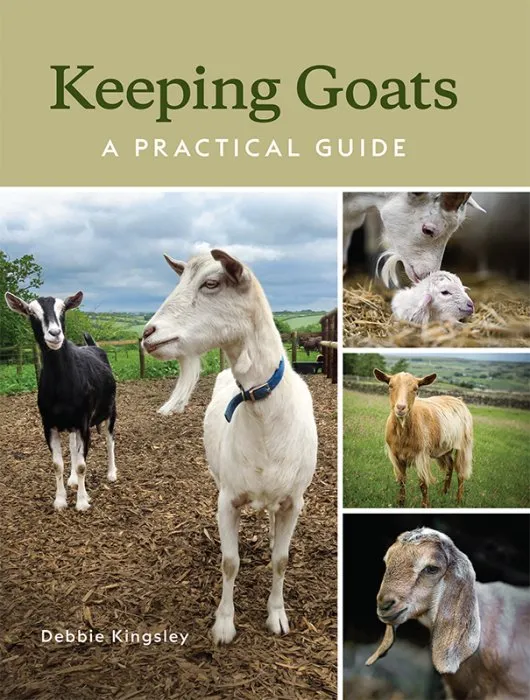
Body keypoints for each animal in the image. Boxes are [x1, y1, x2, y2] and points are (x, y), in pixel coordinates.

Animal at [5, 292, 117, 511]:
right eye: (31, 312)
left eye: (63, 309)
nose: (55, 333)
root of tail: (93, 346)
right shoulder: (49, 425)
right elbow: (57, 464)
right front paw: (60, 501)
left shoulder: (83, 423)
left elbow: (82, 464)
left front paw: (82, 502)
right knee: (73, 447)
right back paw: (72, 480)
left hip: (111, 410)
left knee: (110, 440)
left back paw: (111, 474)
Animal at [142, 249, 318, 644]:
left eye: (211, 283)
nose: (147, 334)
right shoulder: (228, 499)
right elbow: (230, 561)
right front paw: (223, 624)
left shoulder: (295, 500)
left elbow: (281, 559)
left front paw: (277, 615)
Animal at [373, 369, 473, 507]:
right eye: (390, 386)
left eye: (416, 389)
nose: (401, 407)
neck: (402, 433)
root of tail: (459, 400)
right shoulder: (396, 456)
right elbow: (402, 480)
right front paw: (401, 502)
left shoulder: (421, 455)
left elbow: (423, 484)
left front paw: (425, 505)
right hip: (444, 448)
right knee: (450, 466)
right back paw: (444, 492)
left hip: (464, 444)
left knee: (461, 472)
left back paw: (458, 500)